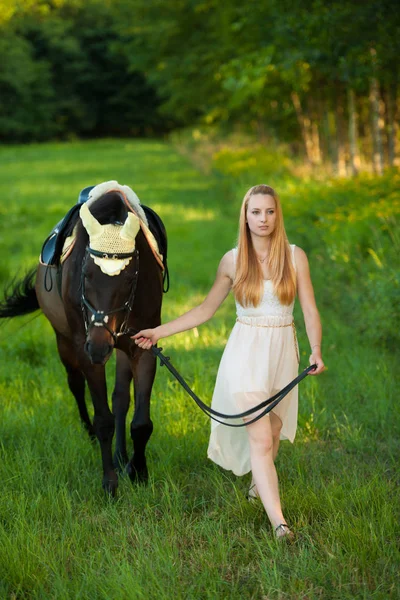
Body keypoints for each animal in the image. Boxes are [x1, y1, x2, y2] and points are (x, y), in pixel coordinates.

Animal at [0, 190, 166, 494]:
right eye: (86, 274)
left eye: (129, 279)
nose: (99, 346)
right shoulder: (85, 347)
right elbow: (103, 420)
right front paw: (110, 483)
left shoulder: (142, 347)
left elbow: (140, 422)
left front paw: (138, 472)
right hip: (65, 343)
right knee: (76, 385)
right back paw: (89, 435)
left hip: (117, 349)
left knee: (120, 397)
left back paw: (121, 456)